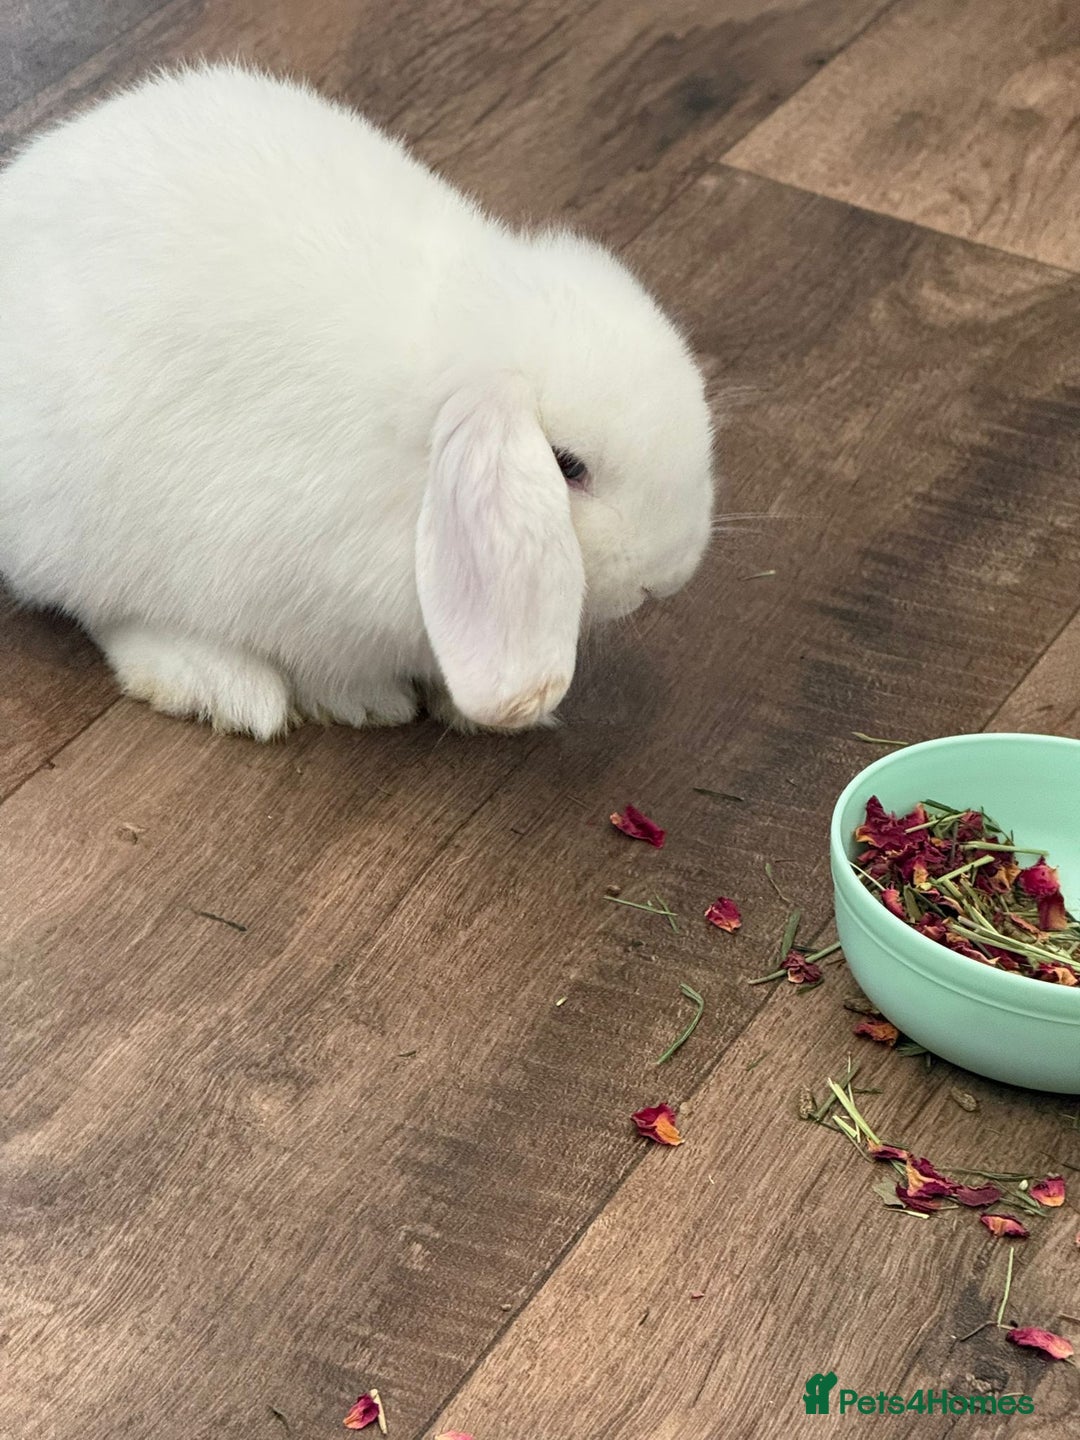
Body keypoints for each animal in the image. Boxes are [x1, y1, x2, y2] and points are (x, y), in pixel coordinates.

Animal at [0, 63, 715, 740]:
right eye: (568, 467)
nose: (669, 576)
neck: (417, 465)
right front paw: (366, 704)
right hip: (80, 520)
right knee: (108, 611)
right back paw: (219, 686)